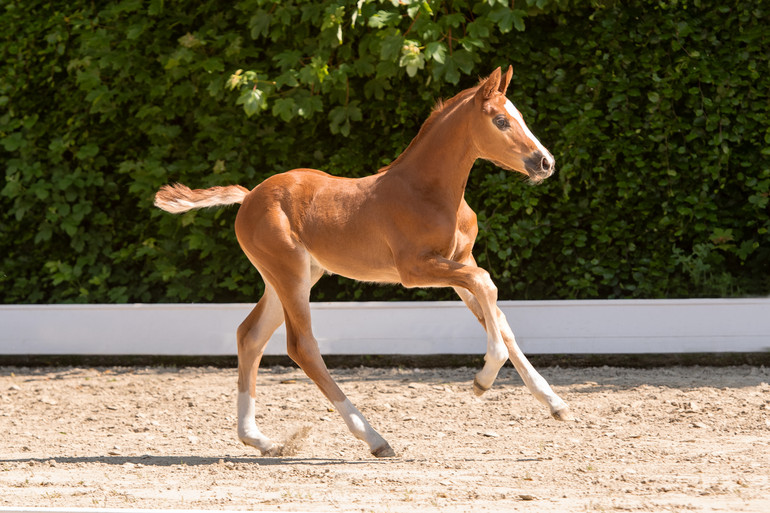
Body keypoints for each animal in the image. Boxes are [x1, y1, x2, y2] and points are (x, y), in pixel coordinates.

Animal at [153, 67, 568, 456]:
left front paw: (555, 403)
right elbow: (486, 283)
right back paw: (374, 438)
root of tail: (250, 196)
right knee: (302, 346)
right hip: (290, 274)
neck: (427, 192)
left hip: (290, 275)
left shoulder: (459, 260)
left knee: (250, 335)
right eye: (501, 120)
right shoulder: (416, 269)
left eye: (519, 116)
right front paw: (483, 380)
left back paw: (260, 440)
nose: (545, 162)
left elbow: (497, 314)